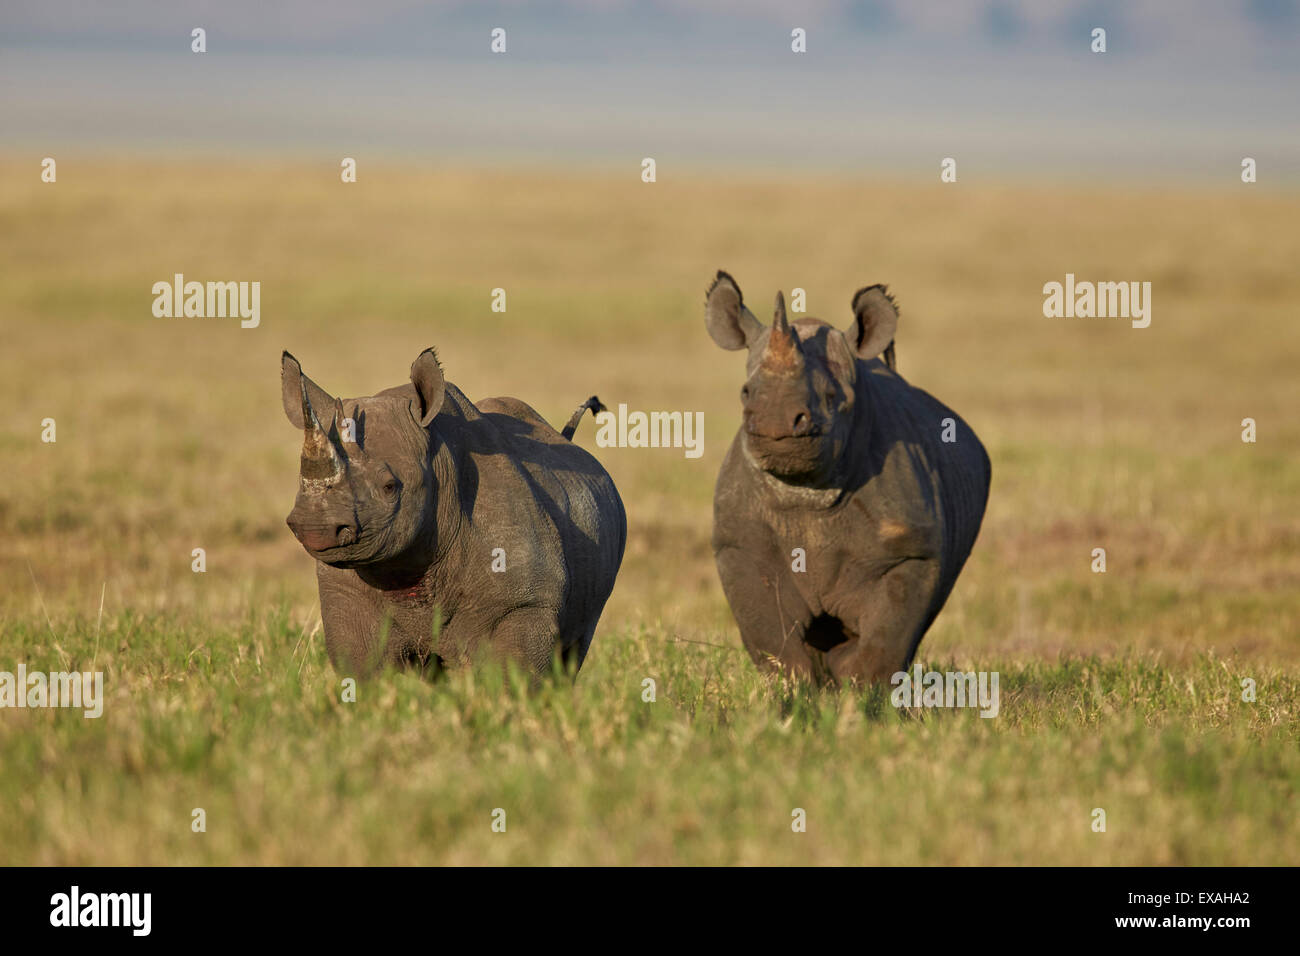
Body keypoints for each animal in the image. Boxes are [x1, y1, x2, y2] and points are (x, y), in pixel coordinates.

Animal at [280, 348, 626, 679]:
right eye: (298, 480)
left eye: (390, 487)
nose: (315, 526)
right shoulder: (349, 598)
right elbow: (364, 669)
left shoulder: (524, 603)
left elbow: (513, 676)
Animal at [705, 271, 990, 685]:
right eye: (745, 392)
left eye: (831, 397)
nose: (776, 421)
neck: (807, 490)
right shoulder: (740, 547)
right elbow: (775, 644)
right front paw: (794, 694)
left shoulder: (910, 553)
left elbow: (880, 646)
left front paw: (858, 697)